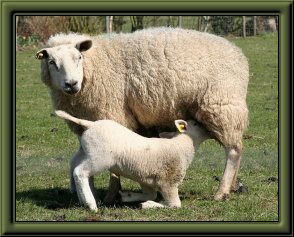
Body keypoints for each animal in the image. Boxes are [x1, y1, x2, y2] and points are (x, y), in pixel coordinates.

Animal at [55, 109, 210, 211]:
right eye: (196, 124)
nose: (208, 128)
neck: (182, 145)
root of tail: (90, 124)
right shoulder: (168, 182)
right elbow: (174, 205)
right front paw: (148, 205)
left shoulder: (146, 179)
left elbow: (151, 194)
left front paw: (126, 196)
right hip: (99, 158)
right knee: (80, 172)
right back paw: (90, 204)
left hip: (86, 150)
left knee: (73, 162)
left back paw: (77, 193)